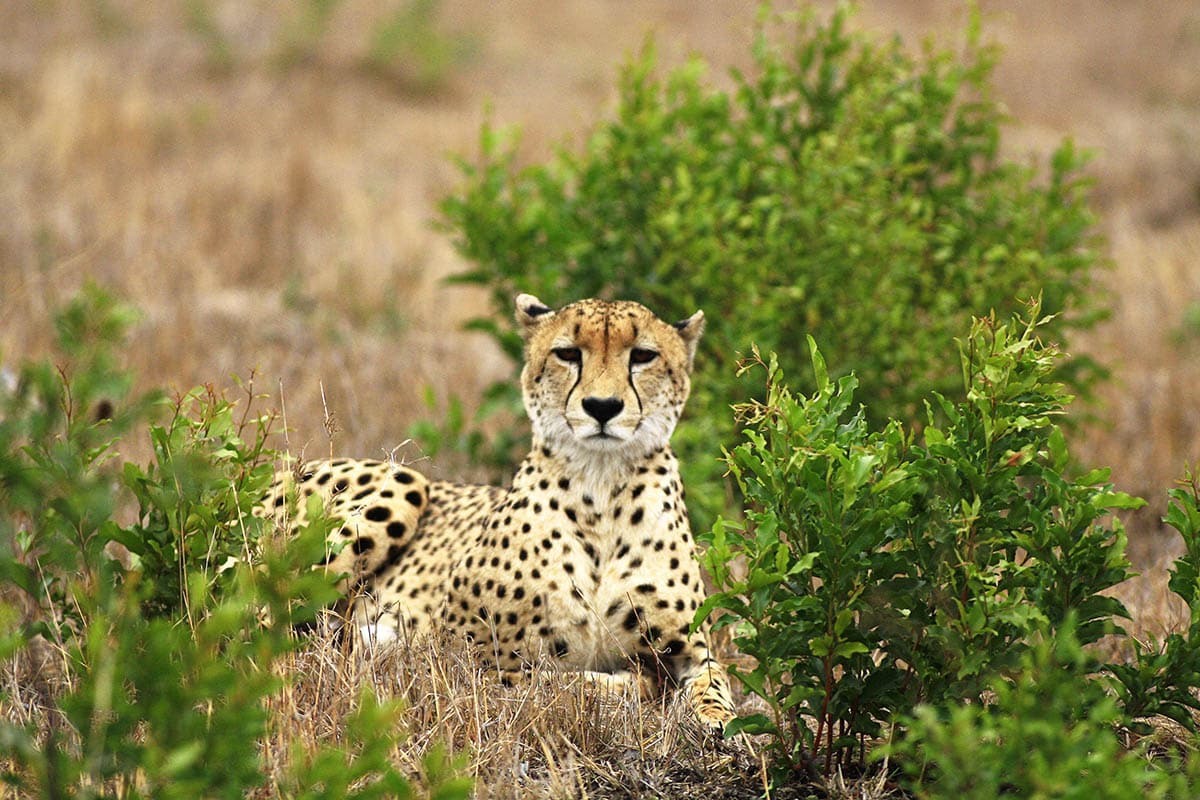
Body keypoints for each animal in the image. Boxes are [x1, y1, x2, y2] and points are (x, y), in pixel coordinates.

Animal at [258, 297, 734, 729]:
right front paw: (632, 685)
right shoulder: (461, 658)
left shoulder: (691, 648)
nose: (602, 407)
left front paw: (716, 722)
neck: (601, 489)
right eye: (567, 354)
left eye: (643, 355)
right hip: (403, 483)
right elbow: (541, 682)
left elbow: (715, 682)